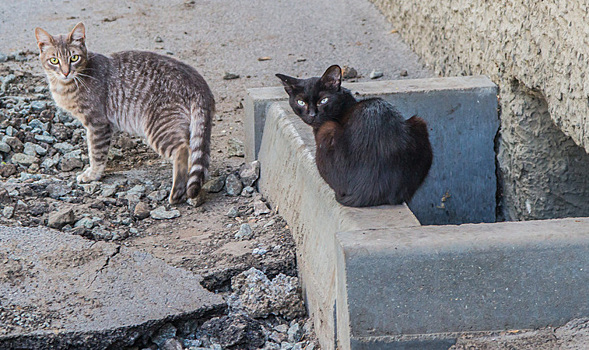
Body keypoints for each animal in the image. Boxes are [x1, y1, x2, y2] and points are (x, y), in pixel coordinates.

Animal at [34, 22, 214, 202]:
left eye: (74, 58)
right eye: (54, 60)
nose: (65, 72)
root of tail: (197, 81)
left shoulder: (98, 123)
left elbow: (96, 152)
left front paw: (93, 174)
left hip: (158, 126)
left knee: (182, 150)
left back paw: (177, 191)